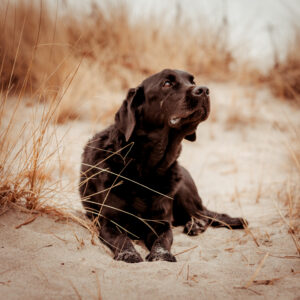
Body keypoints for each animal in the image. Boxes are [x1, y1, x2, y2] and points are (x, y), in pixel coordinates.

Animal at [78, 68, 247, 262]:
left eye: (193, 81)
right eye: (167, 83)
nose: (204, 90)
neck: (145, 169)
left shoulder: (160, 223)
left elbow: (162, 241)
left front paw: (161, 256)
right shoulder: (110, 223)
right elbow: (122, 239)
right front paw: (129, 254)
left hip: (182, 190)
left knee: (202, 214)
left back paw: (196, 224)